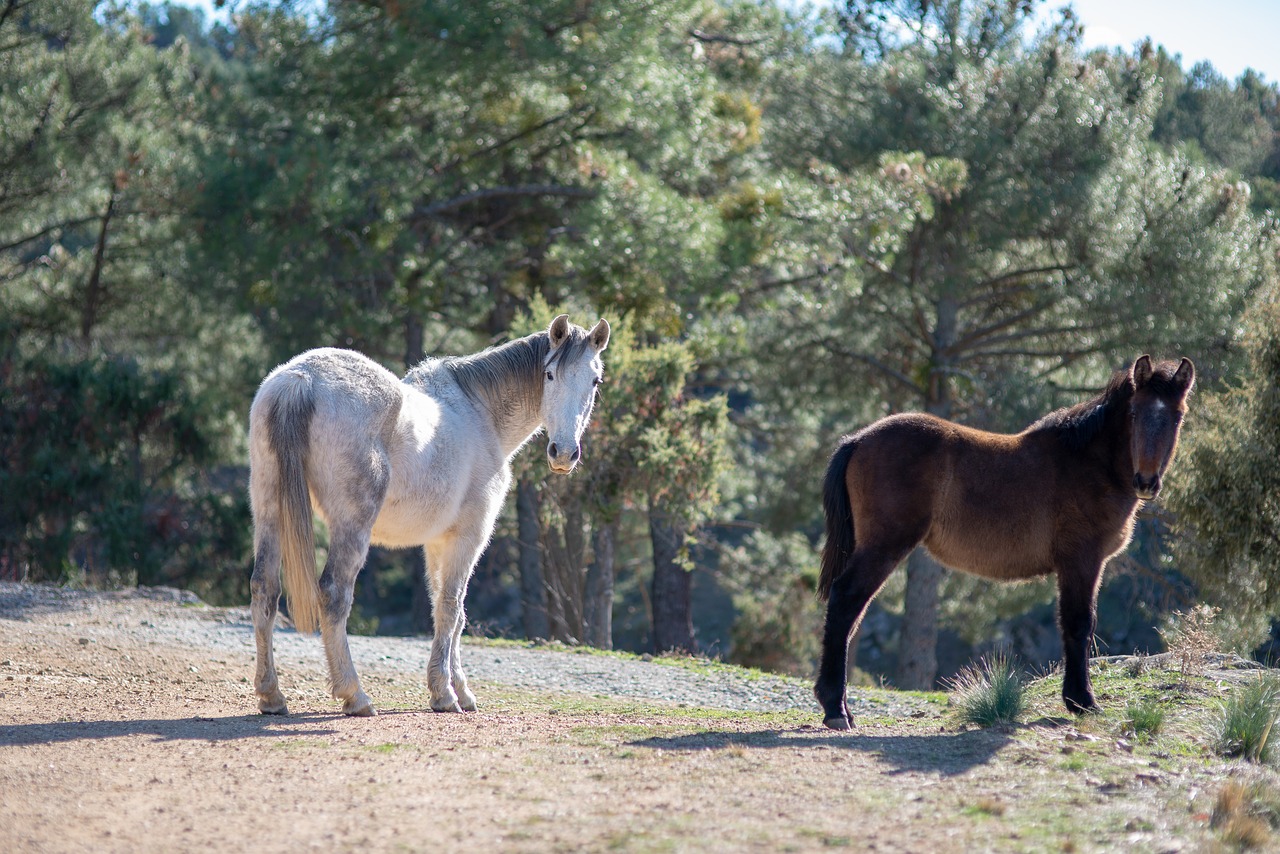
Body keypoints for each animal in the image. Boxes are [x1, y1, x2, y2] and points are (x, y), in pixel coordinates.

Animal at [248, 313, 609, 717]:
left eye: (594, 380)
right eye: (549, 374)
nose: (563, 453)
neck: (479, 412)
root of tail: (301, 380)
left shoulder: (438, 543)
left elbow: (444, 609)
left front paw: (458, 689)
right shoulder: (469, 538)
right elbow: (453, 608)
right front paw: (446, 694)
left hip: (269, 512)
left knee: (264, 589)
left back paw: (271, 696)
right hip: (352, 526)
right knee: (334, 594)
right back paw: (355, 695)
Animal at [814, 358, 1192, 732]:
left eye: (1177, 416)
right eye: (1134, 412)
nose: (1146, 481)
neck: (1089, 462)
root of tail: (858, 439)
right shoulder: (1082, 560)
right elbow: (1079, 623)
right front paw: (1083, 701)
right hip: (884, 546)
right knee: (846, 601)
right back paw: (835, 709)